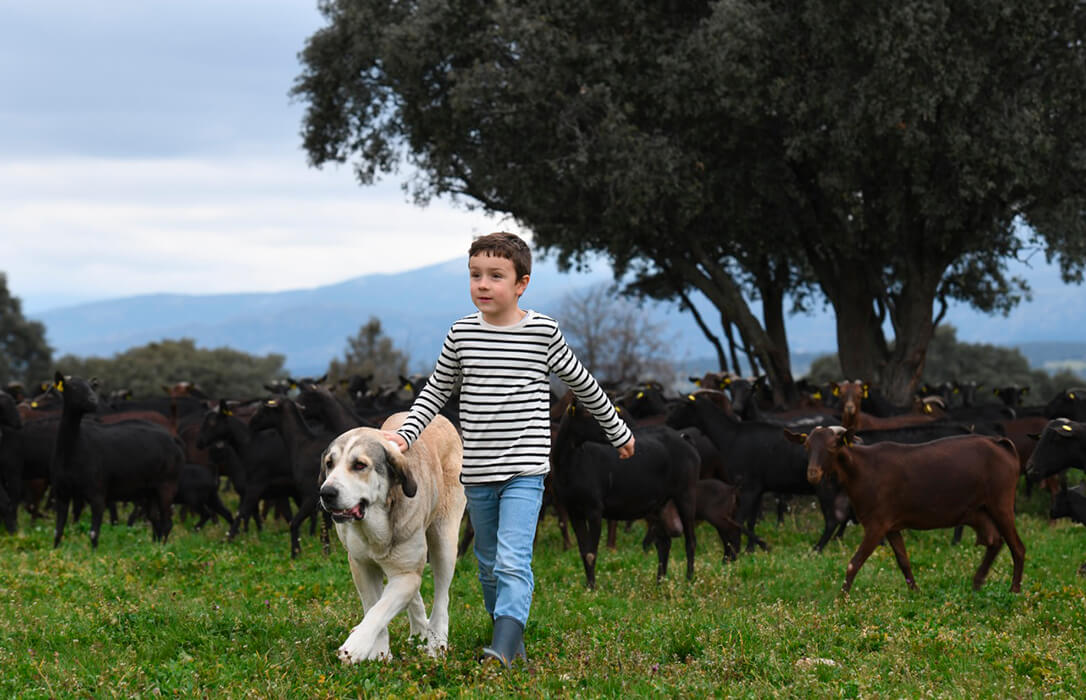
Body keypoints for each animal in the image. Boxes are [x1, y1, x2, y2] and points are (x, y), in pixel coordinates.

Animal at [317, 410, 464, 659]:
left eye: (359, 465)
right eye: (330, 464)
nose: (326, 492)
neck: (373, 525)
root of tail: (442, 419)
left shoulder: (405, 574)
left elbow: (380, 609)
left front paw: (355, 646)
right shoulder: (361, 566)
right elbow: (374, 605)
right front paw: (379, 652)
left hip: (443, 538)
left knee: (442, 594)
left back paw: (436, 641)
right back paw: (419, 631)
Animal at [786, 423, 1020, 590]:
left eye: (833, 446)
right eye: (807, 446)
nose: (812, 474)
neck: (862, 469)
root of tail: (1001, 444)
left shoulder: (877, 524)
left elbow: (854, 563)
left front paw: (841, 599)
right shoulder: (891, 526)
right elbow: (903, 561)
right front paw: (915, 592)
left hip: (1001, 503)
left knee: (1017, 547)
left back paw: (1014, 591)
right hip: (978, 511)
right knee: (994, 541)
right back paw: (977, 583)